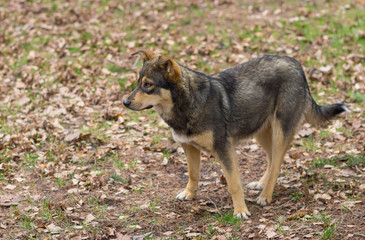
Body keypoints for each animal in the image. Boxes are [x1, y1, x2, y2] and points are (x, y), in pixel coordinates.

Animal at [123, 49, 348, 219]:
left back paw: (265, 195)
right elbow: (193, 174)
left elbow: (233, 184)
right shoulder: (189, 147)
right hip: (259, 131)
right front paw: (189, 194)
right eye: (137, 82)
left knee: (277, 164)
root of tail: (296, 64)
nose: (124, 102)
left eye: (148, 85)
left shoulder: (224, 148)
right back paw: (261, 183)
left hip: (280, 132)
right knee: (272, 159)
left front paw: (240, 211)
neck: (188, 103)